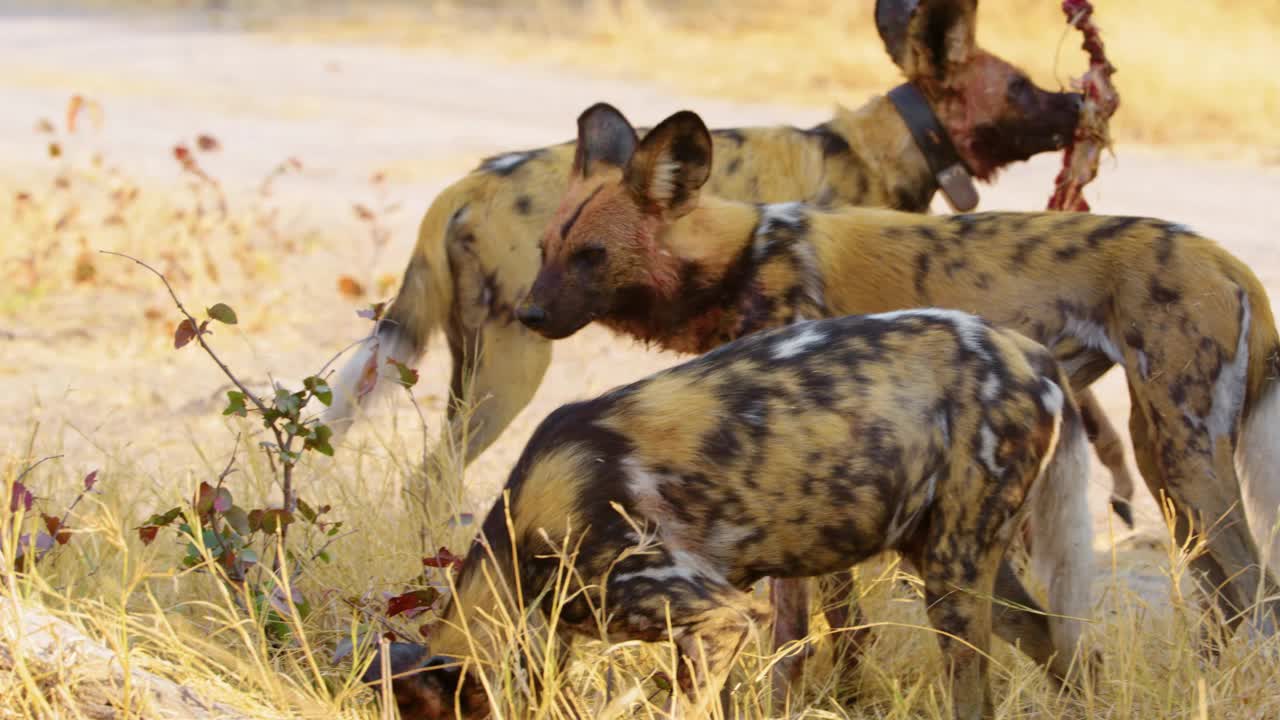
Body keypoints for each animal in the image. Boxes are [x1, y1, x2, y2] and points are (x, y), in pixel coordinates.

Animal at [322, 0, 1141, 527]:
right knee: (434, 478)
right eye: (1024, 87)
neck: (880, 147)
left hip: (477, 370)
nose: (1085, 105)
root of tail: (462, 187)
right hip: (516, 366)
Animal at [366, 310, 1095, 717]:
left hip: (951, 580)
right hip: (951, 565)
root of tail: (1030, 352)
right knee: (1056, 642)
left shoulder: (719, 617)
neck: (522, 552)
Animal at [517, 103, 1280, 653]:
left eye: (591, 255)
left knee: (1257, 592)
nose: (527, 312)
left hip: (1186, 460)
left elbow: (817, 635)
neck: (741, 261)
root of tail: (1229, 260)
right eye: (546, 248)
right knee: (1233, 596)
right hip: (1168, 473)